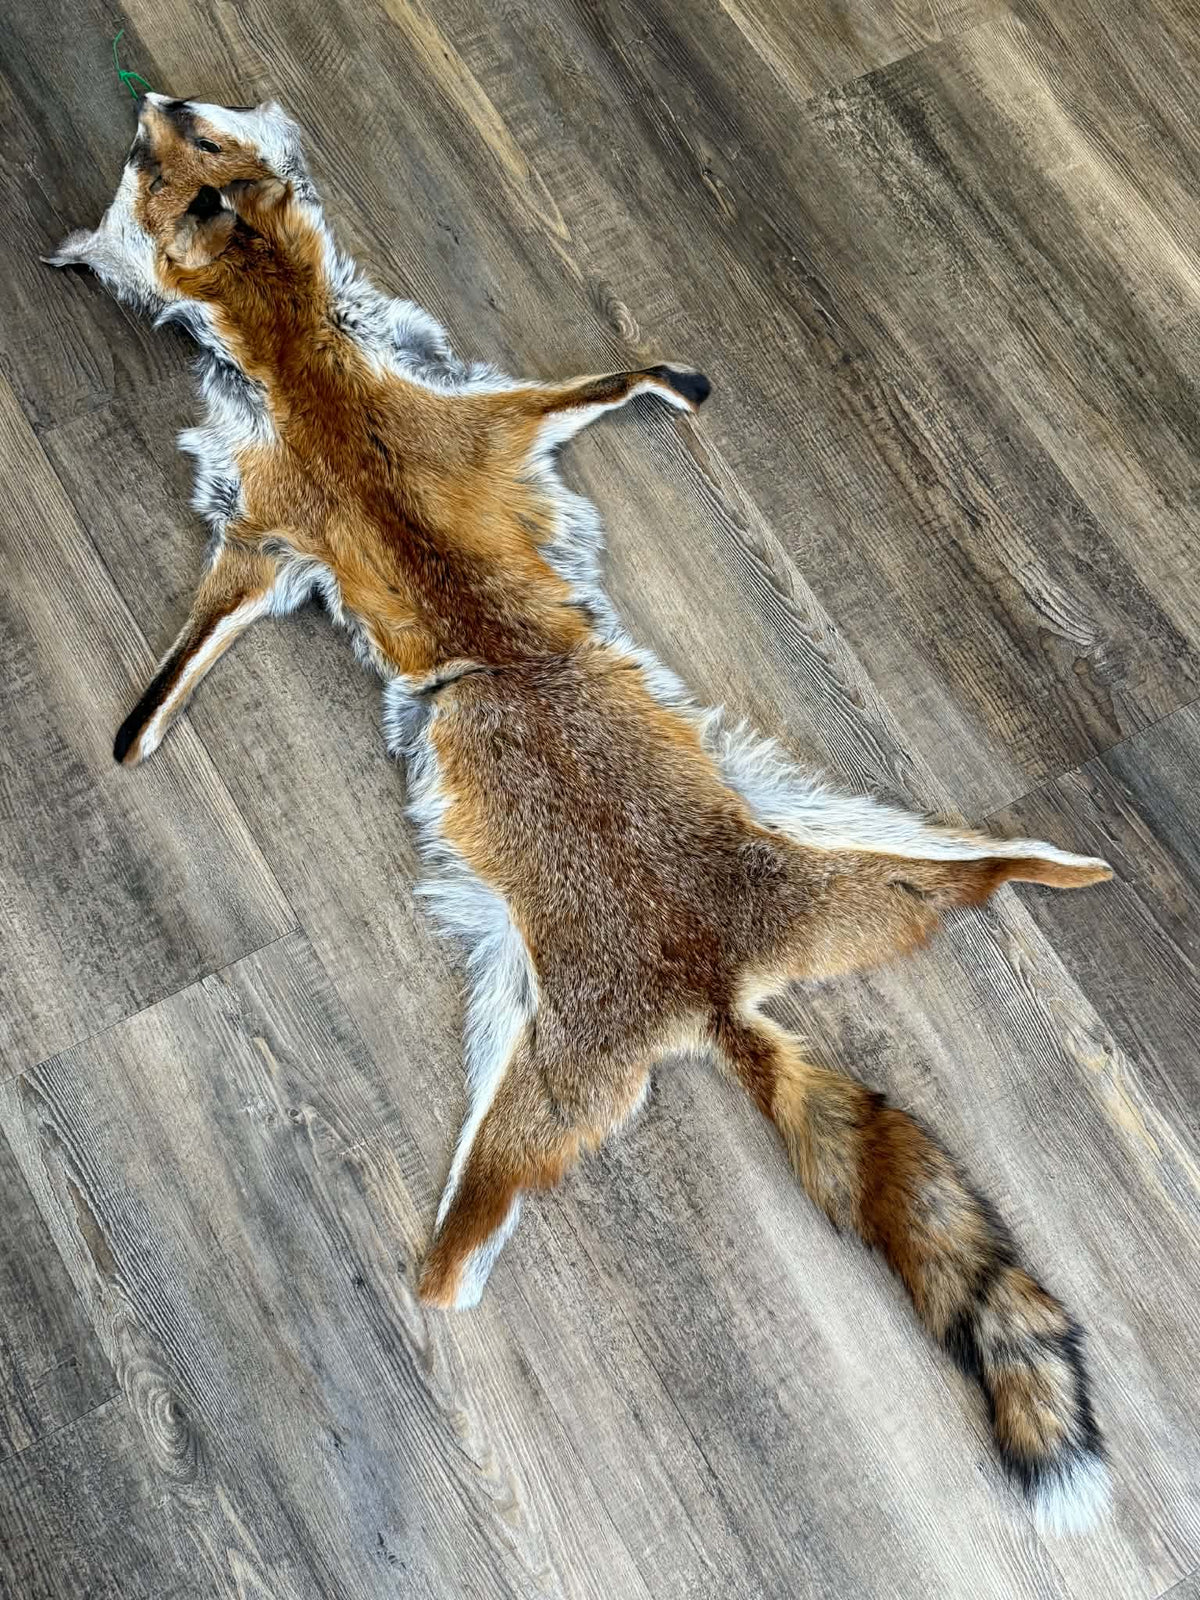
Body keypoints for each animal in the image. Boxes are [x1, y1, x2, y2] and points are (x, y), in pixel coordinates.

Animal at [47, 93, 1113, 1533]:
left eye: (178, 149)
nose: (151, 99)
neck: (307, 365)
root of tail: (712, 994)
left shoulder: (326, 497)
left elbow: (580, 393)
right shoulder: (319, 504)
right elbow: (185, 662)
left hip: (534, 1070)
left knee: (446, 1266)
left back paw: (427, 1318)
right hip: (862, 857)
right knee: (995, 870)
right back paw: (1063, 865)